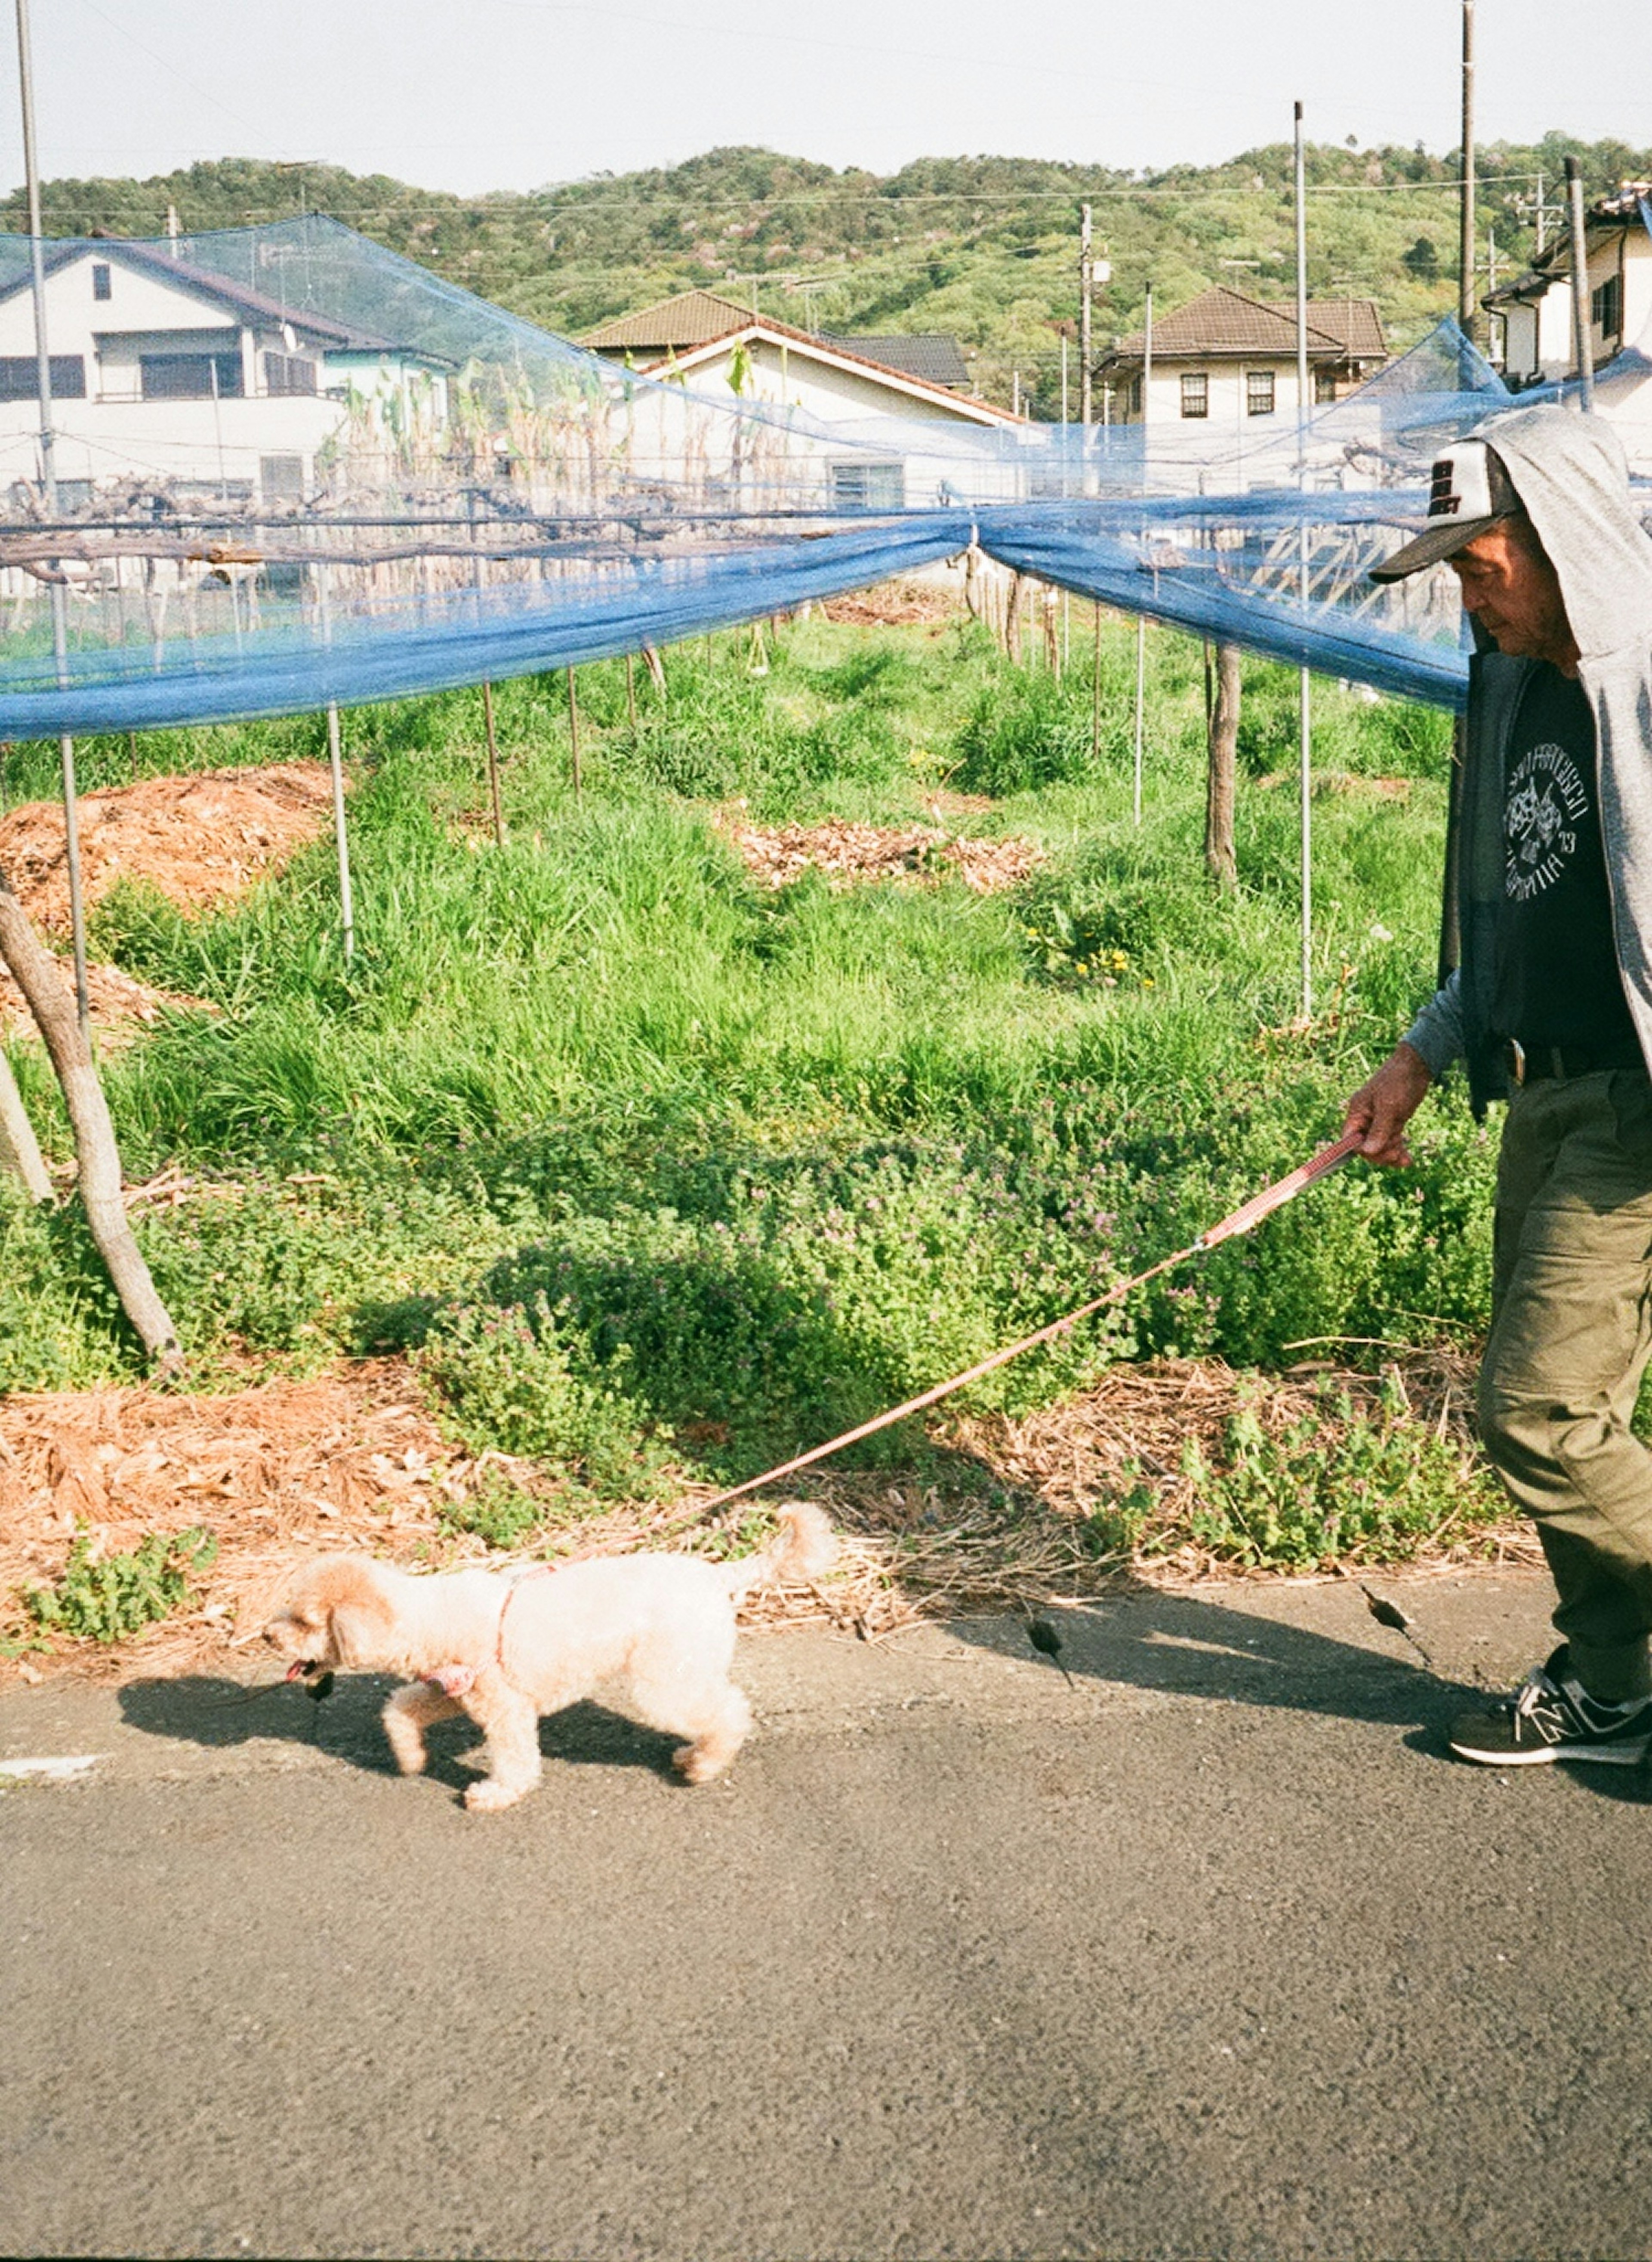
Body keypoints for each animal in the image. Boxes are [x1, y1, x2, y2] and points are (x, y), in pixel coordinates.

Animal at [262, 1502, 828, 1818]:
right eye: (286, 1609)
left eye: (304, 1620)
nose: (268, 1635)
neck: (428, 1617)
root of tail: (719, 1575)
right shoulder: (454, 1690)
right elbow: (399, 1710)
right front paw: (411, 1760)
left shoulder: (504, 1707)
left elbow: (516, 1759)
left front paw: (494, 1795)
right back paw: (696, 1756)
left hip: (665, 1679)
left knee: (729, 1711)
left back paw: (704, 1765)